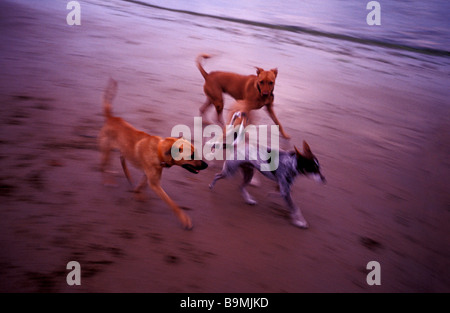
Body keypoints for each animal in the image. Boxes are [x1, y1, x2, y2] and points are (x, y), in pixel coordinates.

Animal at [98, 78, 207, 229]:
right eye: (191, 156)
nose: (206, 165)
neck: (159, 150)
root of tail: (111, 117)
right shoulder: (155, 184)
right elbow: (171, 203)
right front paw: (184, 219)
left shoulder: (150, 175)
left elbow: (142, 183)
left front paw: (137, 192)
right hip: (106, 149)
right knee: (103, 166)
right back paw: (108, 180)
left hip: (120, 150)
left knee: (119, 159)